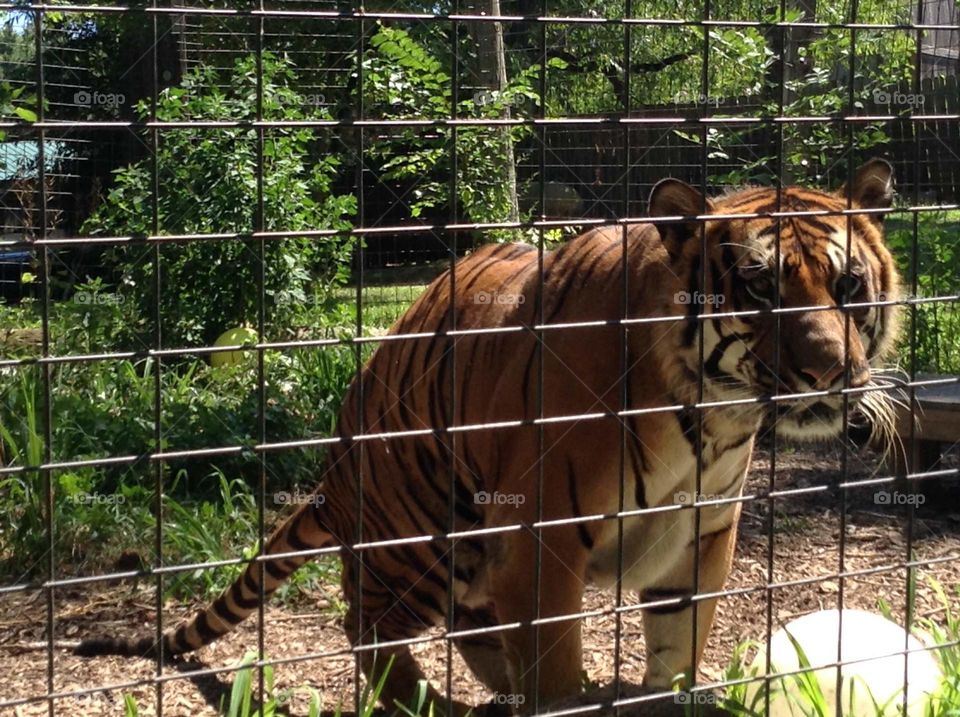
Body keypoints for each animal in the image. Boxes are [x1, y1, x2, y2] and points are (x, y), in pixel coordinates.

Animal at [77, 159, 901, 715]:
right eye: (759, 287)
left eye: (847, 286)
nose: (830, 370)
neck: (712, 417)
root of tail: (334, 470)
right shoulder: (545, 538)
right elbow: (556, 662)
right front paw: (568, 698)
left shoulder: (699, 532)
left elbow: (674, 645)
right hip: (423, 536)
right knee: (364, 625)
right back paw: (436, 704)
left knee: (468, 628)